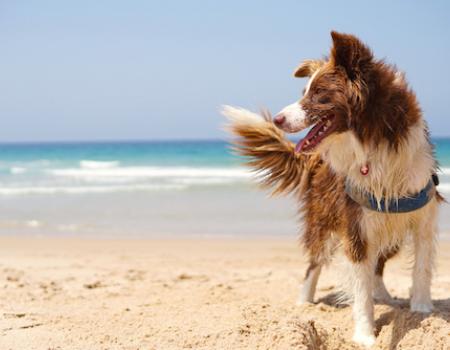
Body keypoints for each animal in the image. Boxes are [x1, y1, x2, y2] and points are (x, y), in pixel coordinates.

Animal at [223, 30, 442, 348]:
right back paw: (304, 302)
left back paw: (385, 296)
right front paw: (365, 335)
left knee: (377, 264)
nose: (277, 119)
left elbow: (421, 267)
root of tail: (315, 158)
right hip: (324, 220)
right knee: (314, 263)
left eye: (317, 94)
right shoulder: (356, 224)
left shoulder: (422, 214)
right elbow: (360, 288)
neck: (373, 138)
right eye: (304, 92)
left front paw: (422, 309)